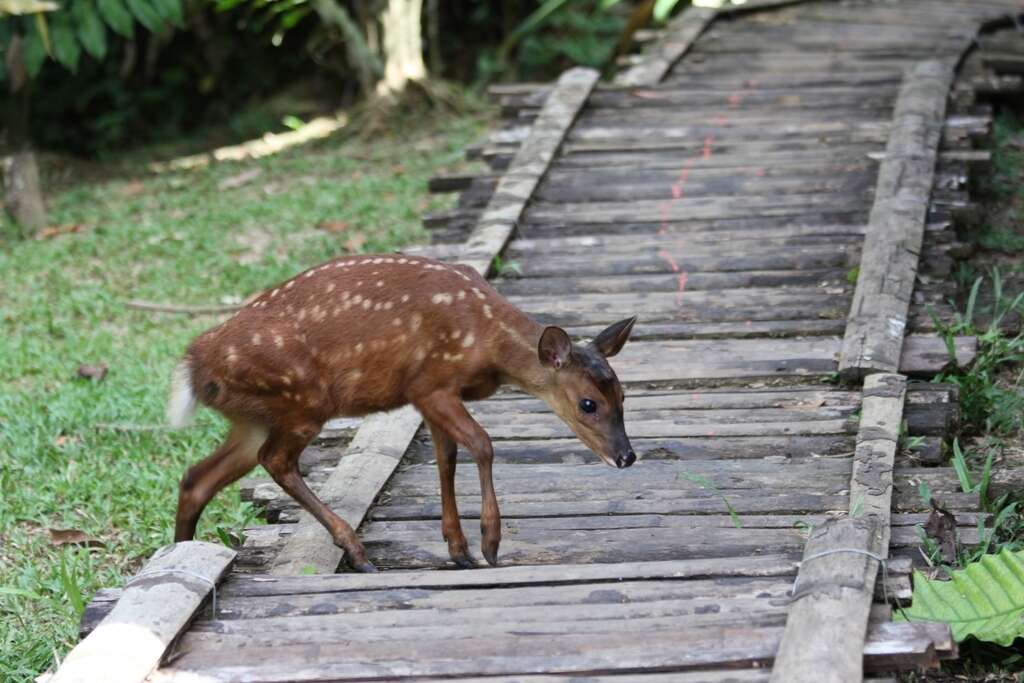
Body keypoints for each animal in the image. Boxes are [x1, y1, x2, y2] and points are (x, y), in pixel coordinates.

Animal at [166, 253, 630, 573]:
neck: (488, 340)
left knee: (197, 478)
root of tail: (195, 365)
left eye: (623, 396)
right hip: (304, 400)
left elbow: (446, 459)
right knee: (275, 461)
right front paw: (489, 543)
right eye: (588, 403)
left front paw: (459, 549)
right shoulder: (429, 383)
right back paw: (357, 552)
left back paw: (180, 551)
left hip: (252, 419)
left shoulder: (431, 396)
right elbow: (482, 444)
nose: (626, 456)